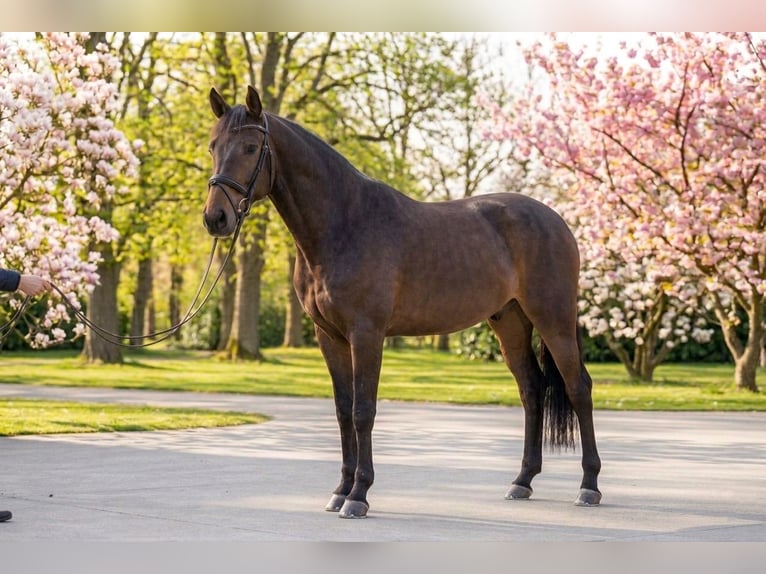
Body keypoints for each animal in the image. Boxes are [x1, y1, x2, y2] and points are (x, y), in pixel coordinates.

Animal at [203, 86, 602, 519]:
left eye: (250, 146)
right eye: (212, 146)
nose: (216, 218)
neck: (344, 223)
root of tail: (557, 221)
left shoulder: (366, 334)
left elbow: (363, 411)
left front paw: (359, 495)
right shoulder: (329, 336)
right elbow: (343, 410)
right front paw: (340, 490)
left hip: (553, 318)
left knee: (578, 387)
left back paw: (589, 486)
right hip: (510, 321)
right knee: (531, 390)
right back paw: (522, 481)